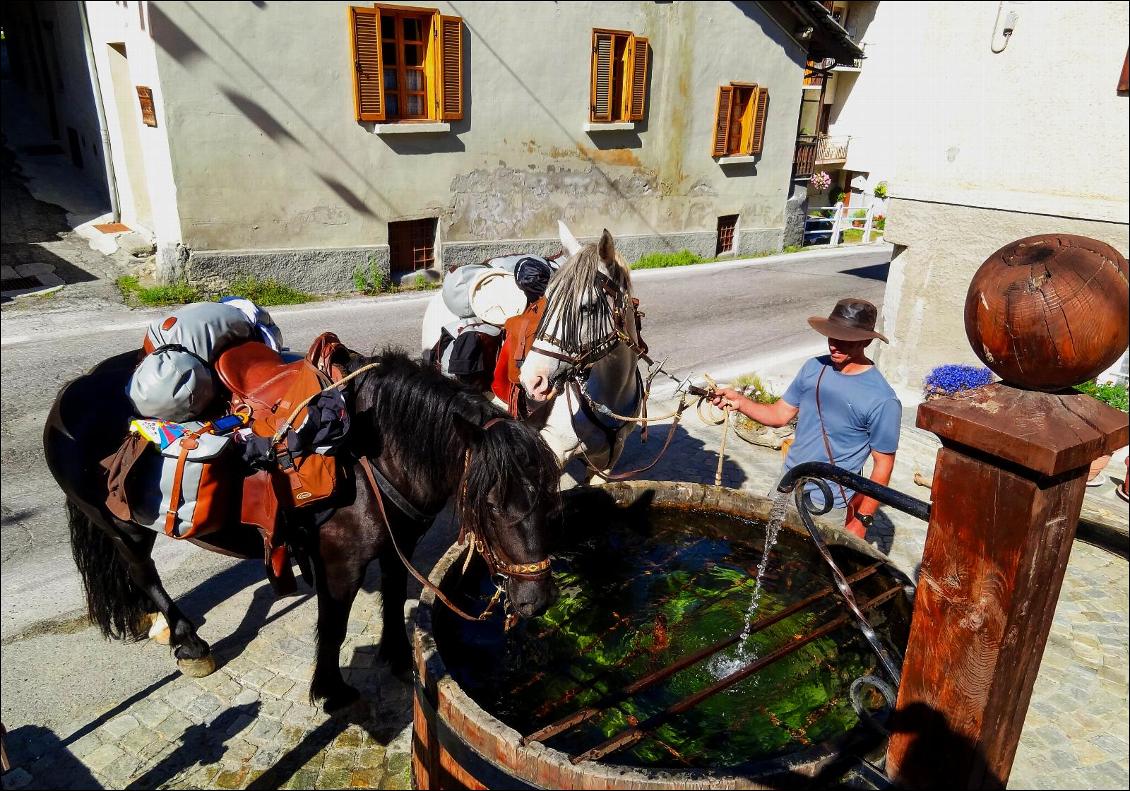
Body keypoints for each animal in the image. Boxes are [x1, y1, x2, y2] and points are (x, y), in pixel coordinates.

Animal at [47, 345, 560, 709]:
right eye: (491, 504)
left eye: (549, 497)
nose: (535, 602)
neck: (373, 454)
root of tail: (69, 396)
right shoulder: (339, 566)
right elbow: (333, 626)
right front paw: (331, 690)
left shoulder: (399, 548)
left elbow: (393, 601)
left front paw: (398, 658)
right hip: (124, 529)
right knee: (144, 574)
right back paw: (187, 642)